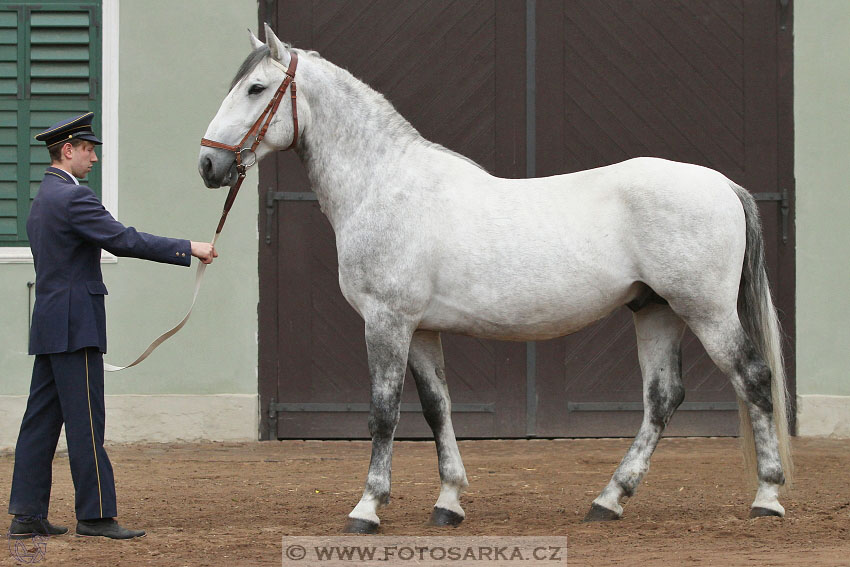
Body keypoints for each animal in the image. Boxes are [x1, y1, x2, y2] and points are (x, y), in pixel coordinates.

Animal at [197, 25, 788, 532]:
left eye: (256, 88)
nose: (207, 165)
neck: (385, 186)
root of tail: (721, 184)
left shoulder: (387, 322)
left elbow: (383, 413)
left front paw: (367, 508)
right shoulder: (421, 330)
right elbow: (437, 409)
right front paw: (448, 503)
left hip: (705, 310)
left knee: (754, 379)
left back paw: (767, 498)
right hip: (656, 310)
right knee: (662, 400)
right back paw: (608, 501)